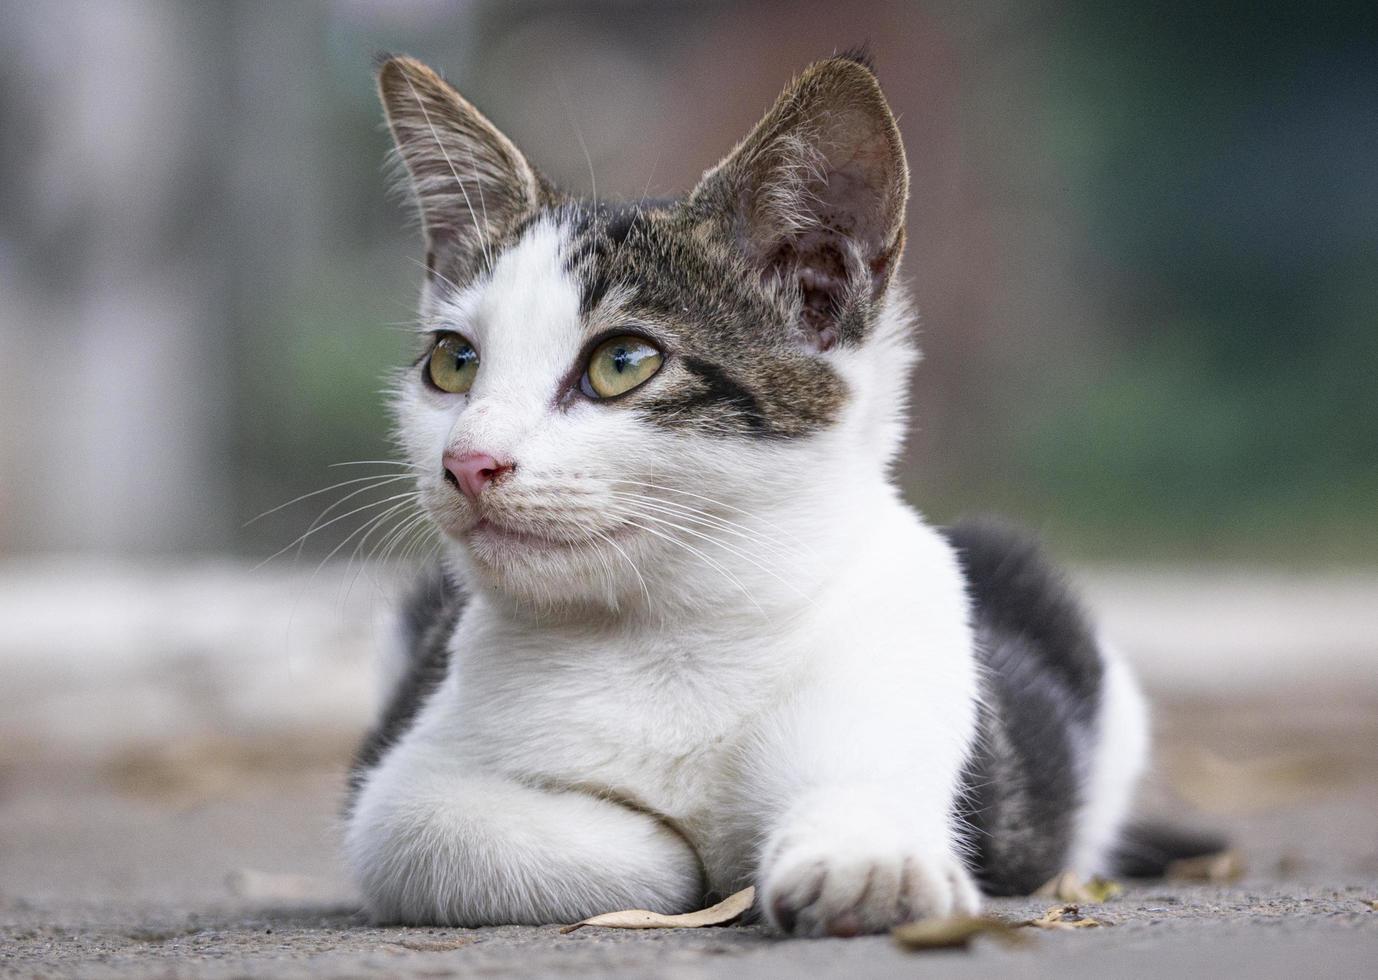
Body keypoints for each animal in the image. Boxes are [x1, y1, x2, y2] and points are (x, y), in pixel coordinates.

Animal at [344, 51, 1218, 937]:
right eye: (452, 363)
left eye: (621, 363)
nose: (468, 460)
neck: (673, 634)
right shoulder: (398, 787)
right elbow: (447, 830)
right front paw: (683, 858)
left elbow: (865, 801)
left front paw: (863, 858)